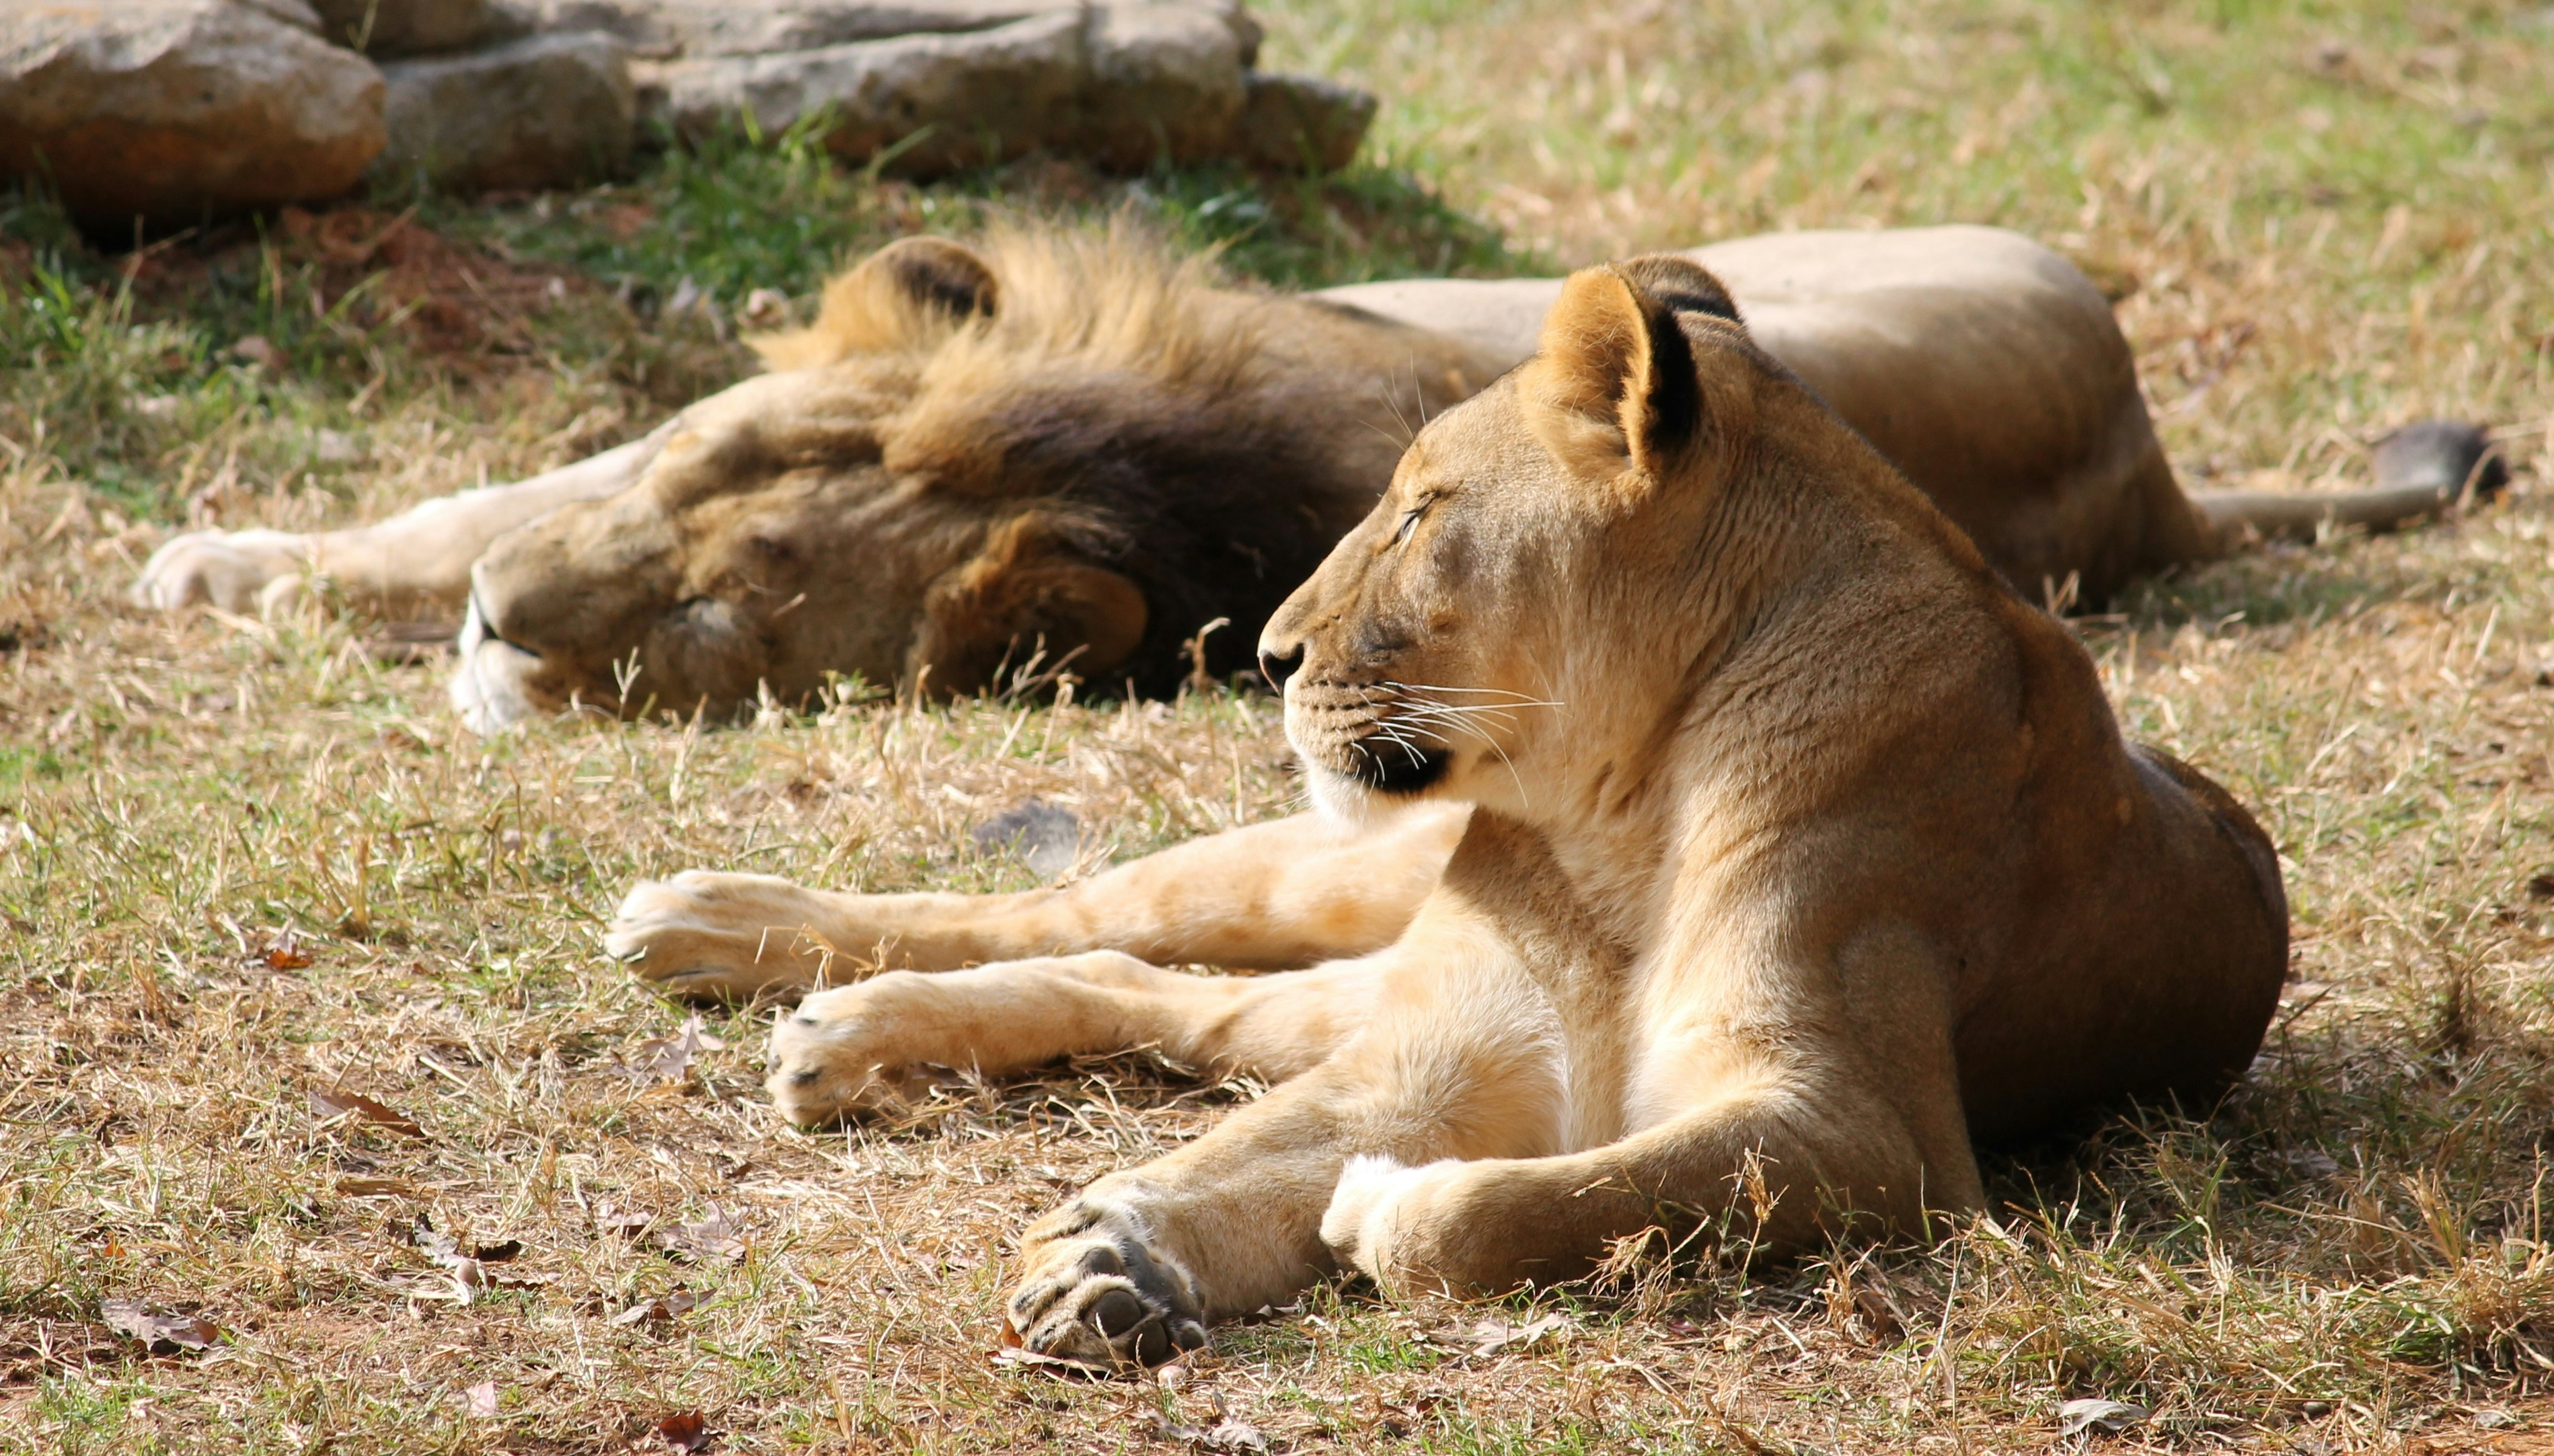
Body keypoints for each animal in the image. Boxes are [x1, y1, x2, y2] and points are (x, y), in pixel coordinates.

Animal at [604, 254, 2291, 1366]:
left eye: (1418, 512)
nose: (1266, 653)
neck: (1623, 808)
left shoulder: (1863, 1124)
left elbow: (1518, 1204)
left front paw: (1338, 1218)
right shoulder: (1433, 1049)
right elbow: (1259, 1146)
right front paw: (1116, 1240)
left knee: (1163, 997)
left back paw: (832, 1027)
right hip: (1328, 880)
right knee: (1092, 914)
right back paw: (722, 928)